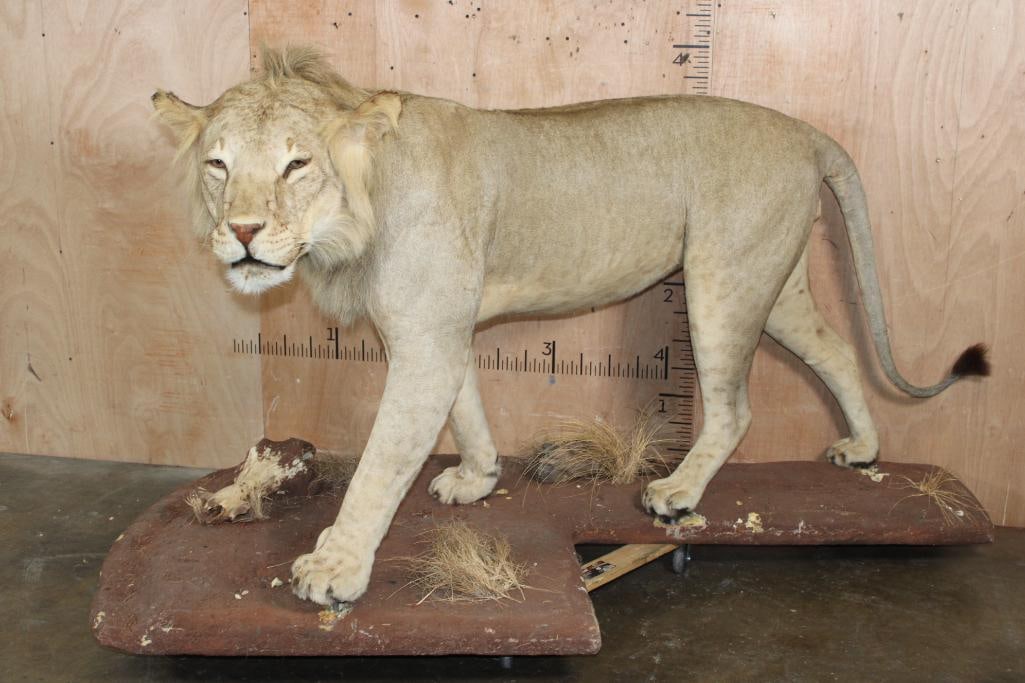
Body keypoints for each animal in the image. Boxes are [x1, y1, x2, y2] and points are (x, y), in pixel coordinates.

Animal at [153, 47, 988, 607]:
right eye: (218, 166)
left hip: (721, 281)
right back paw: (862, 449)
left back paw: (675, 493)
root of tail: (804, 131)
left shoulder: (423, 342)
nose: (243, 233)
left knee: (736, 406)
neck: (349, 226)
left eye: (296, 165)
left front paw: (335, 568)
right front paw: (477, 478)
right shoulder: (439, 331)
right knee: (839, 350)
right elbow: (466, 408)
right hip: (771, 281)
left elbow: (381, 464)